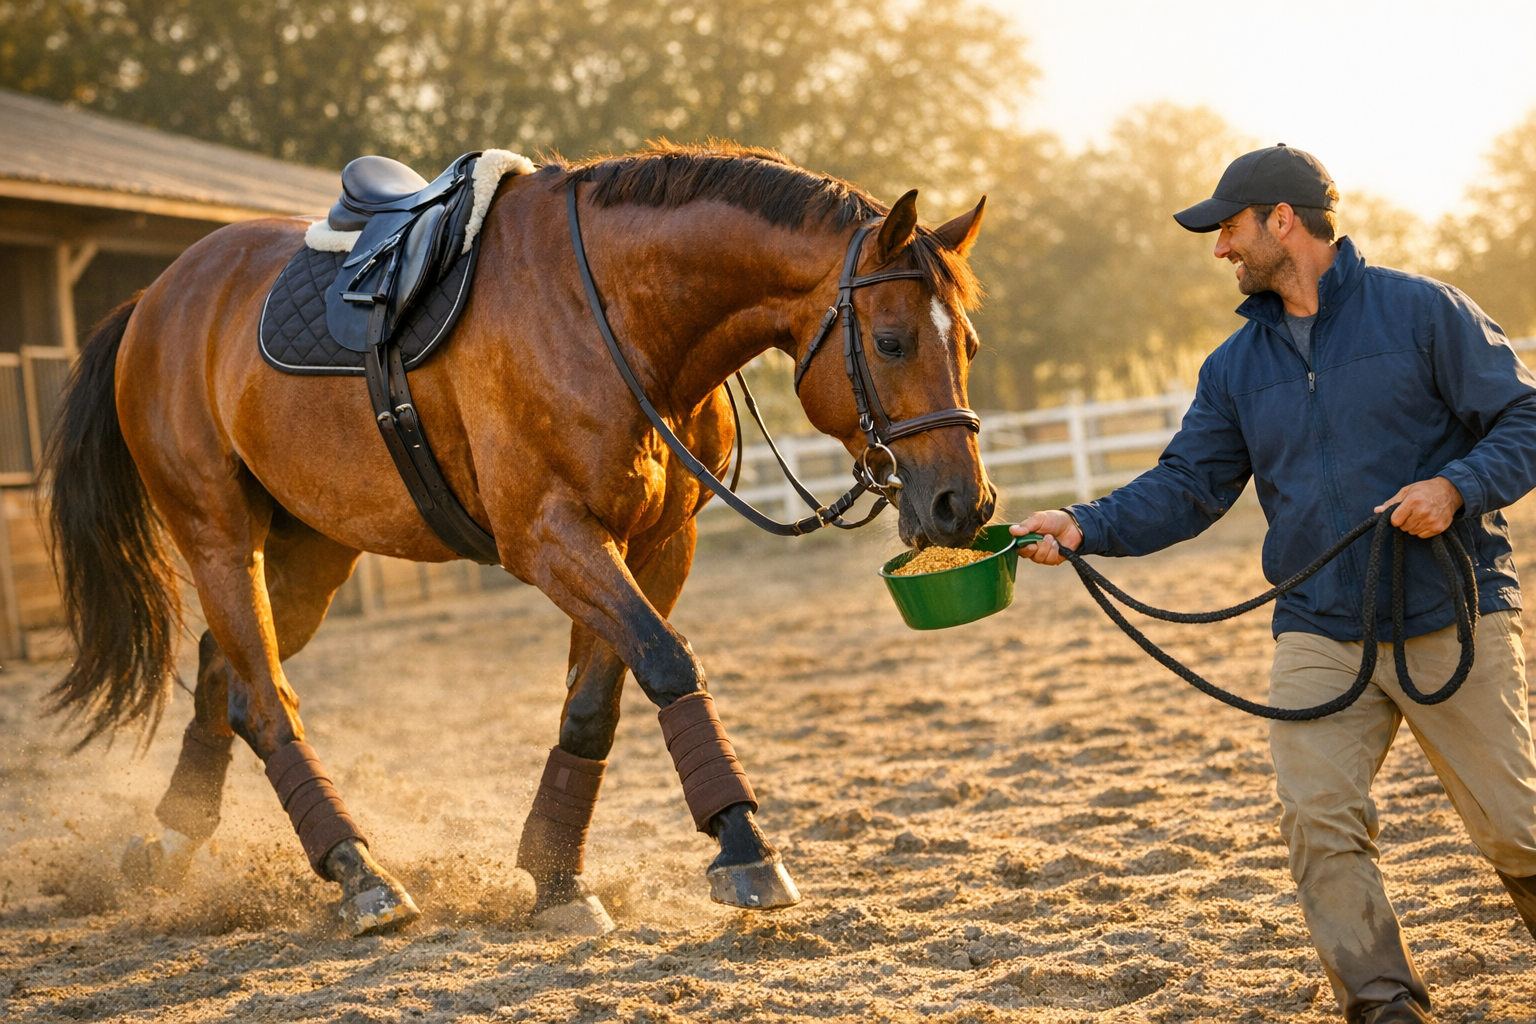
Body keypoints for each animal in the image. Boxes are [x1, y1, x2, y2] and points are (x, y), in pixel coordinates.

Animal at [44, 141, 995, 936]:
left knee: (227, 677)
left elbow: (595, 706)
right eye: (891, 340)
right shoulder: (548, 537)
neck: (610, 313)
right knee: (266, 700)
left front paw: (556, 879)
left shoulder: (653, 546)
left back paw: (175, 844)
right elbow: (669, 662)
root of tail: (157, 298)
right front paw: (743, 846)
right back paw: (359, 875)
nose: (963, 505)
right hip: (216, 535)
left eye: (970, 346)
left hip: (311, 548)